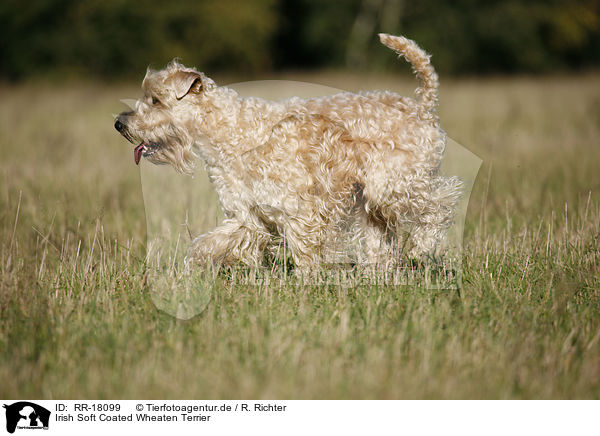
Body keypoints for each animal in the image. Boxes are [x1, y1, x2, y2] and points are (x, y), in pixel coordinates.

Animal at [116, 35, 464, 272]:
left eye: (156, 100)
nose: (120, 123)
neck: (229, 131)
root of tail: (421, 105)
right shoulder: (247, 215)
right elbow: (207, 243)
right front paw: (195, 269)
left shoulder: (302, 210)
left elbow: (305, 252)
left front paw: (309, 283)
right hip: (374, 202)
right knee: (383, 238)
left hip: (395, 184)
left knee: (442, 202)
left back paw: (421, 245)